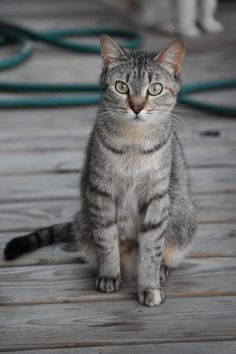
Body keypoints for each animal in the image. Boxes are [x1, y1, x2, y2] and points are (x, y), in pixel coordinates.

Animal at [5, 36, 197, 306]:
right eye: (121, 87)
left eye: (155, 89)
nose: (137, 107)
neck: (133, 143)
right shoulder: (101, 192)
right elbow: (107, 241)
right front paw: (109, 274)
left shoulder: (156, 197)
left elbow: (152, 248)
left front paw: (149, 285)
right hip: (85, 222)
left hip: (182, 220)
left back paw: (160, 270)